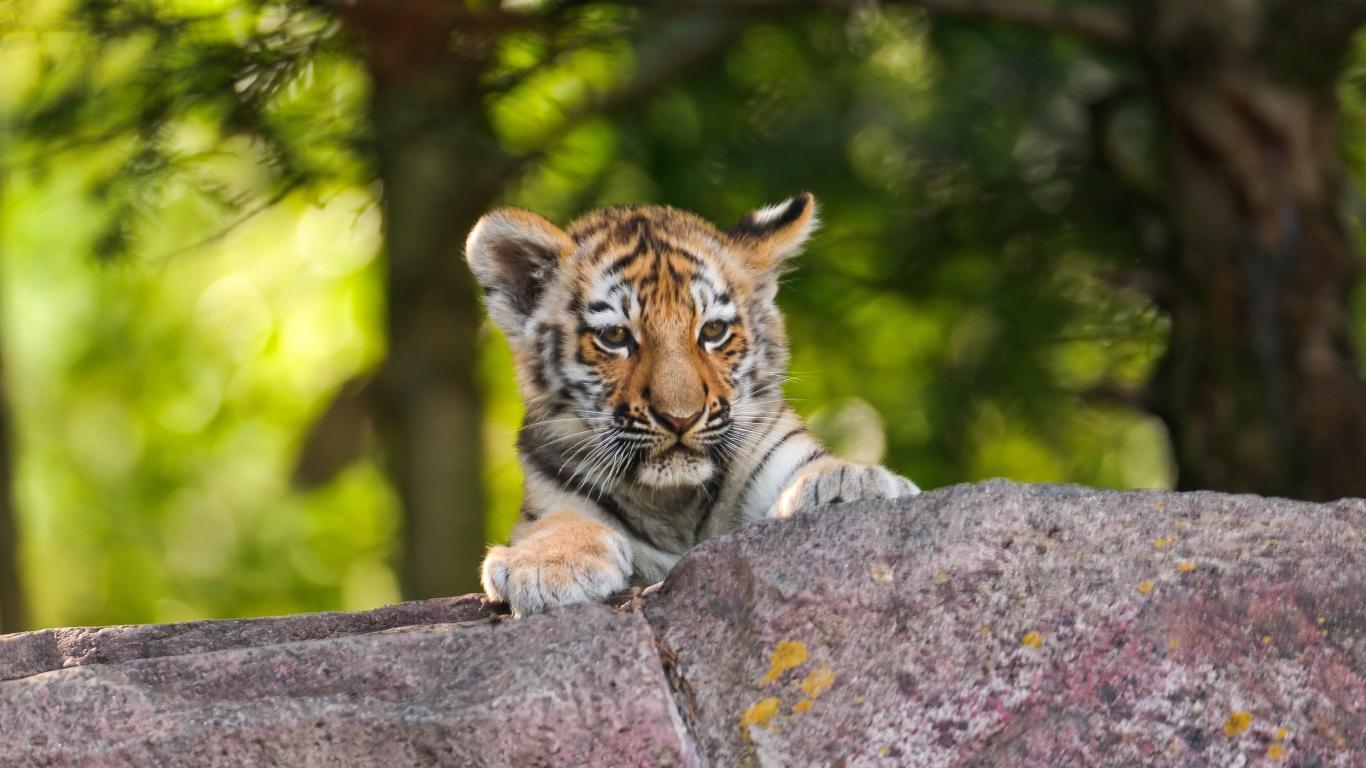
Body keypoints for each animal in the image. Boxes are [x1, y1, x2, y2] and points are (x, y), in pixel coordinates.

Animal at [465, 193, 919, 617]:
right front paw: (547, 568)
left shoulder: (775, 446)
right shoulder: (552, 494)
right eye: (615, 337)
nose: (680, 419)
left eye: (713, 331)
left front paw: (850, 482)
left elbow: (817, 466)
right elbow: (559, 523)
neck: (672, 502)